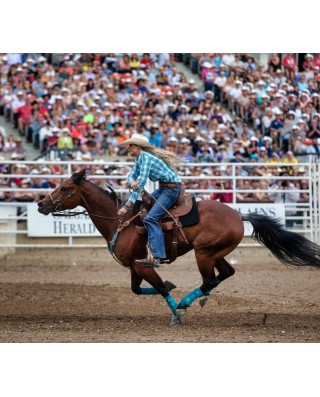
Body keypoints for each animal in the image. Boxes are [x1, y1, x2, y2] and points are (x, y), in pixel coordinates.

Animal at [37, 169, 320, 324]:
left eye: (64, 187)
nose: (41, 204)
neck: (120, 221)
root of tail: (240, 215)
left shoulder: (144, 266)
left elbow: (161, 288)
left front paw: (177, 312)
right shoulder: (134, 267)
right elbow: (137, 290)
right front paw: (173, 292)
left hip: (203, 253)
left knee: (209, 280)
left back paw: (186, 302)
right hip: (213, 253)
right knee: (225, 273)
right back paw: (199, 299)